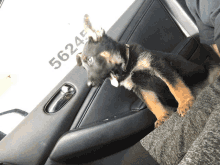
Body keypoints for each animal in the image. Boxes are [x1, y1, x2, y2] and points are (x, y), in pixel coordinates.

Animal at [76, 14, 220, 127]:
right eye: (83, 68)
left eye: (90, 60)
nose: (90, 84)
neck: (127, 67)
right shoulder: (139, 87)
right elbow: (152, 103)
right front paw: (162, 116)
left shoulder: (159, 67)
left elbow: (175, 87)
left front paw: (185, 103)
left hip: (206, 68)